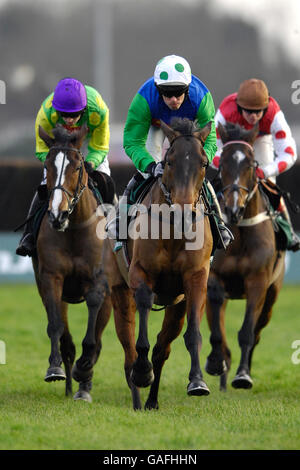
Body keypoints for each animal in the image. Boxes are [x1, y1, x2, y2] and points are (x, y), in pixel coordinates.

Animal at [32, 123, 112, 402]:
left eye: (77, 167)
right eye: (48, 166)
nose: (58, 214)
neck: (75, 228)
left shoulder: (98, 280)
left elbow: (93, 335)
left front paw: (84, 370)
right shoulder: (50, 277)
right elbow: (56, 326)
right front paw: (55, 368)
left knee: (98, 338)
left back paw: (83, 385)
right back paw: (69, 384)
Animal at [99, 118, 212, 412]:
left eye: (203, 162)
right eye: (169, 161)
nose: (185, 211)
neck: (173, 232)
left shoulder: (195, 279)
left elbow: (192, 334)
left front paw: (197, 381)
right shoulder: (141, 273)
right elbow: (141, 332)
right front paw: (142, 372)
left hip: (176, 306)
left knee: (163, 348)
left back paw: (151, 400)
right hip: (119, 291)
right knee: (128, 348)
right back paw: (138, 398)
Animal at [205, 121, 284, 390]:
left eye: (250, 164)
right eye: (223, 163)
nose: (233, 208)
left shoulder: (258, 282)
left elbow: (247, 332)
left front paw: (242, 376)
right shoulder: (214, 277)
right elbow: (217, 329)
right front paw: (216, 362)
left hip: (272, 295)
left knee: (258, 331)